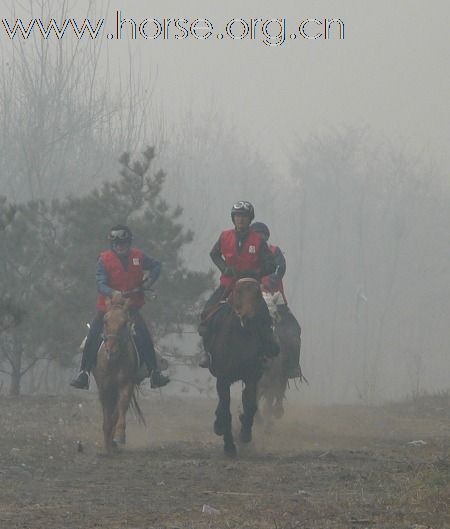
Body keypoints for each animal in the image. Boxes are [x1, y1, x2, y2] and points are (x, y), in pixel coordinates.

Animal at [93, 292, 144, 454]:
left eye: (125, 322)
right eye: (105, 321)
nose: (112, 351)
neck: (113, 363)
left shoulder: (126, 383)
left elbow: (120, 406)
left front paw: (119, 435)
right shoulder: (103, 386)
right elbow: (107, 410)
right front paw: (107, 442)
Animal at [208, 278, 268, 456]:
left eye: (257, 292)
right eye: (238, 291)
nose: (248, 317)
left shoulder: (252, 377)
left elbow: (250, 404)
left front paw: (245, 433)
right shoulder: (223, 378)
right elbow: (226, 409)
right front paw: (229, 446)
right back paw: (219, 425)